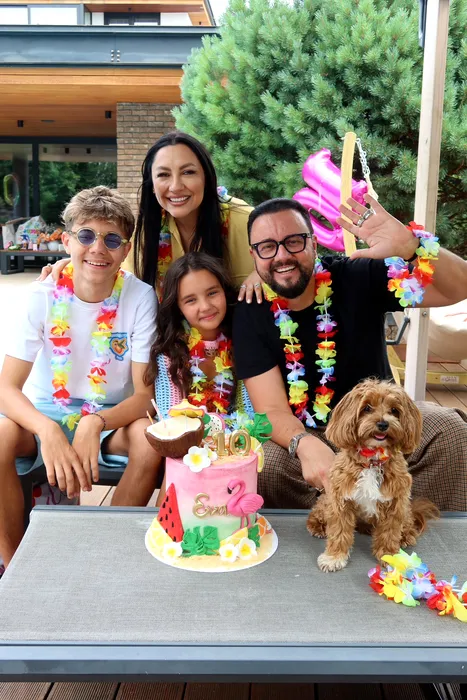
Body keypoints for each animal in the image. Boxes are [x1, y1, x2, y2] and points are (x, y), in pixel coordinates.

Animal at [307, 379, 439, 572]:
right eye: (367, 408)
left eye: (394, 410)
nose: (383, 424)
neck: (373, 462)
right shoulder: (340, 500)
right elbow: (339, 531)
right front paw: (334, 557)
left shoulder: (396, 502)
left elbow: (389, 533)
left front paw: (390, 556)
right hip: (326, 500)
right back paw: (317, 526)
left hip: (406, 507)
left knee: (407, 522)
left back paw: (406, 536)